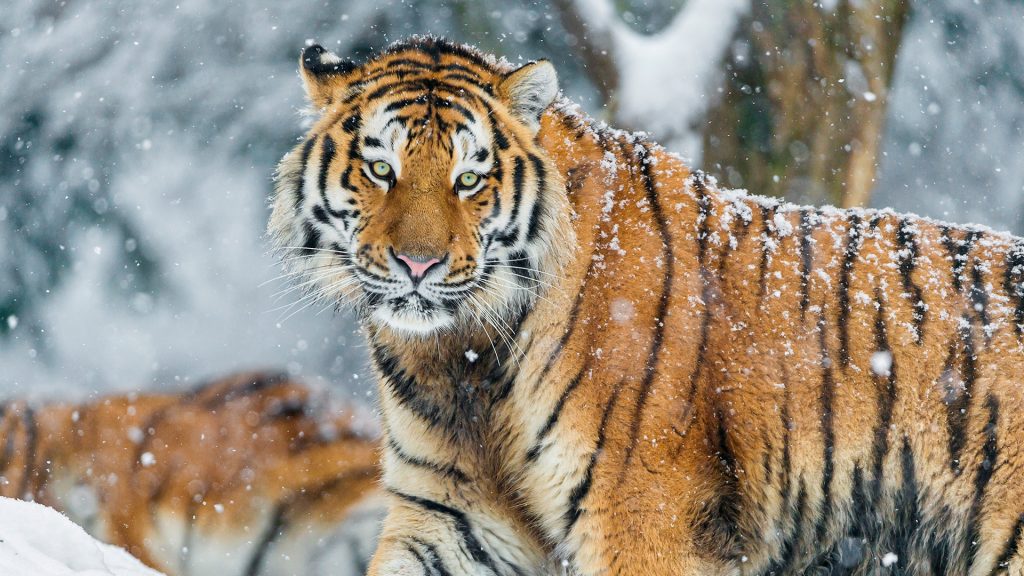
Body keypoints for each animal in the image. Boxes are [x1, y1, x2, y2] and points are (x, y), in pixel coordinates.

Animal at [268, 36, 1024, 573]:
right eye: (380, 169)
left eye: (469, 179)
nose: (417, 265)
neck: (463, 360)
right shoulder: (446, 515)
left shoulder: (642, 514)